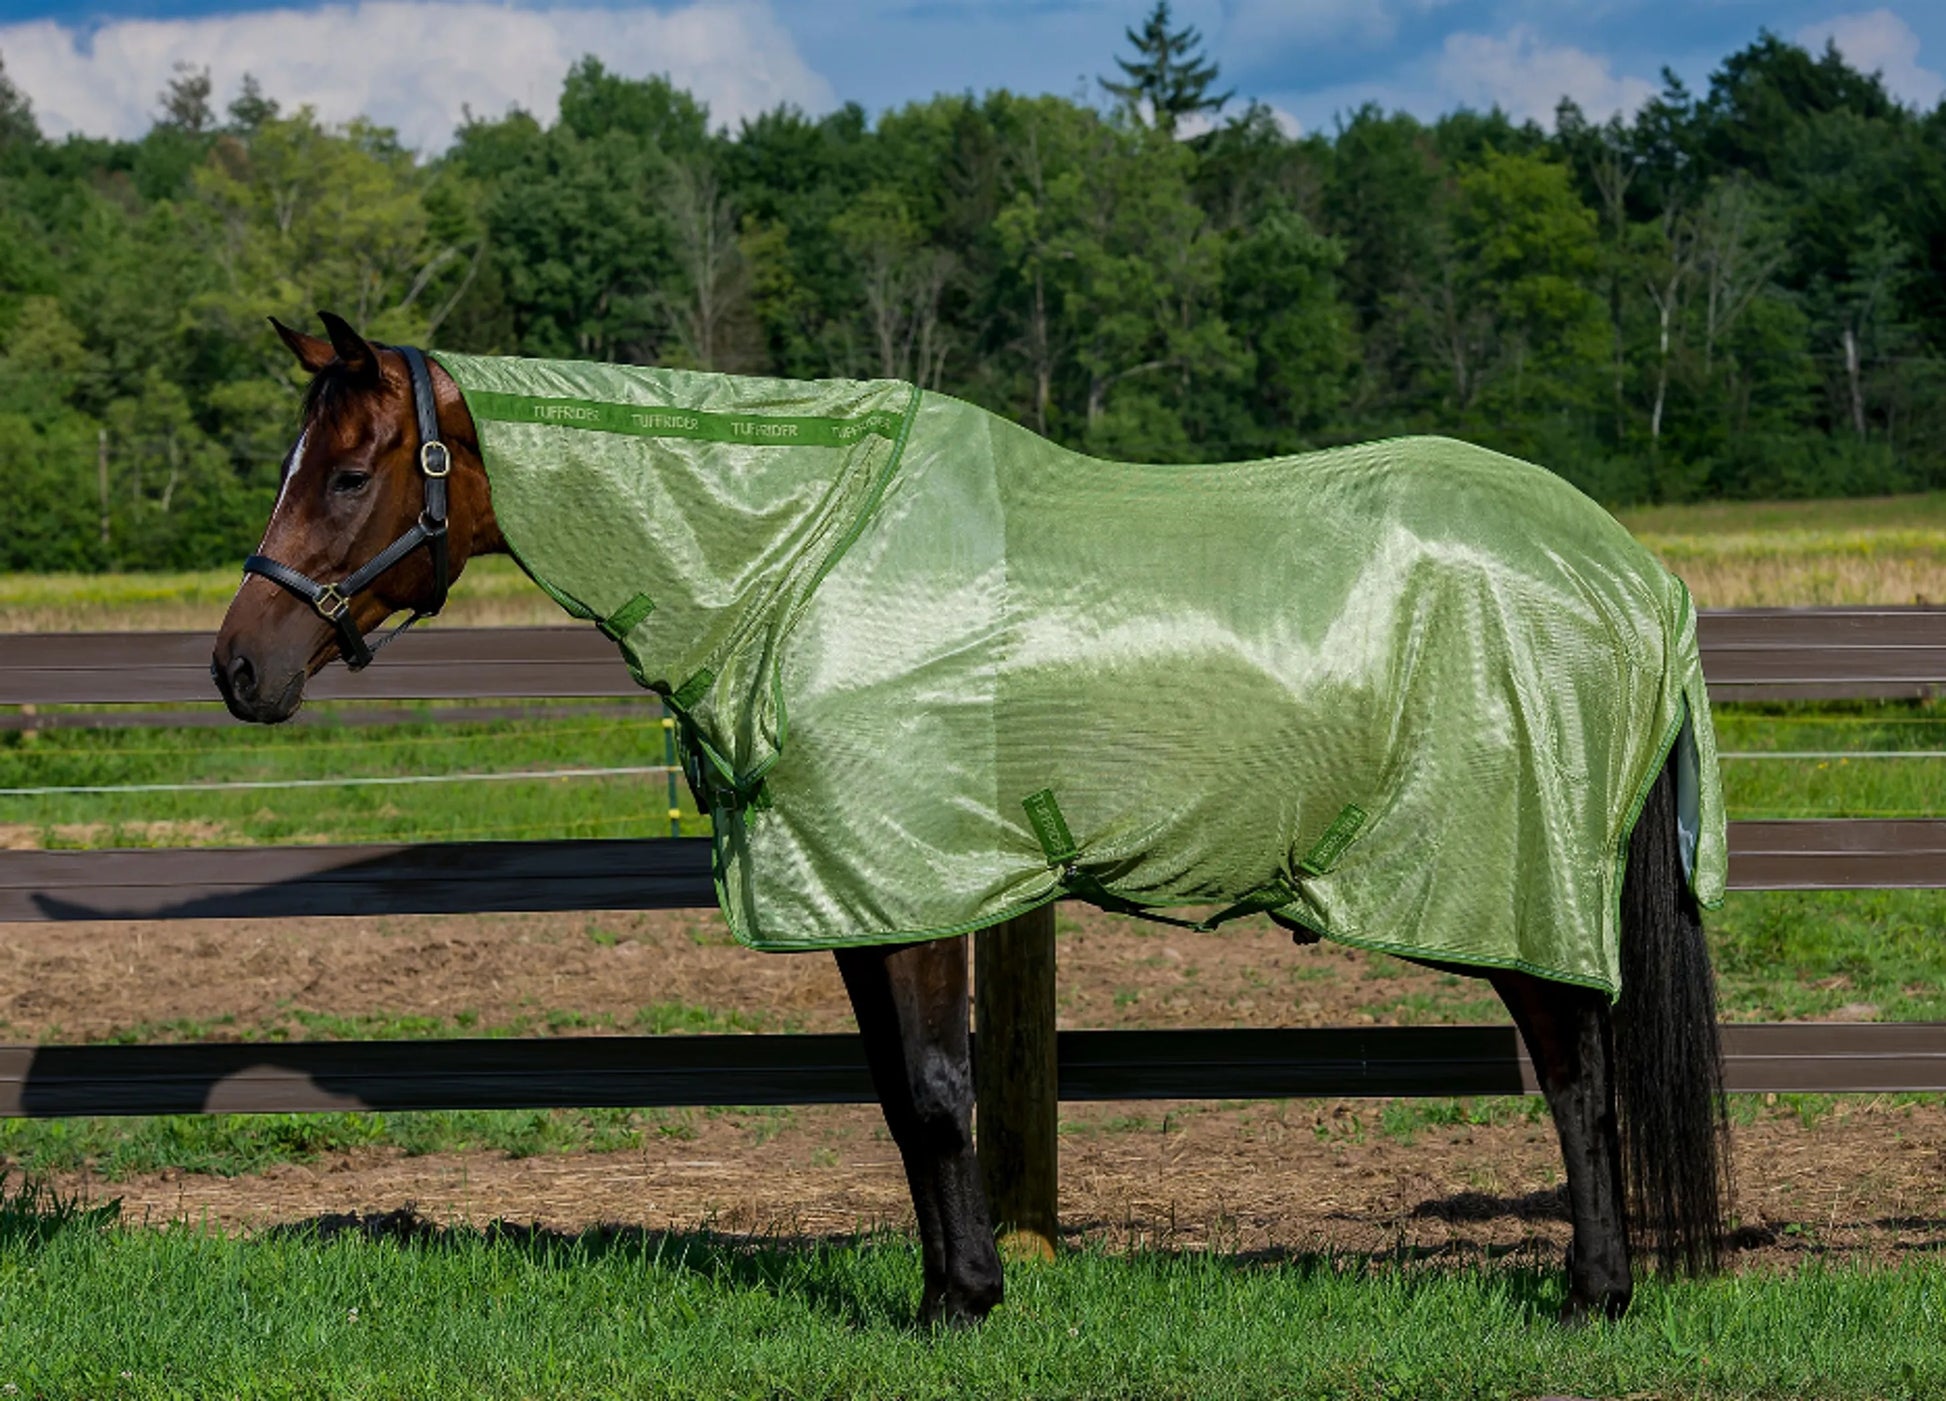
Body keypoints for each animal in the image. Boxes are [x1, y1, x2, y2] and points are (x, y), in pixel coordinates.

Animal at [213, 312, 1731, 1327]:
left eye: (346, 472)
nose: (239, 667)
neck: (801, 559)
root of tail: (1633, 573)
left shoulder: (912, 878)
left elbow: (942, 1096)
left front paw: (961, 1306)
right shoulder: (857, 890)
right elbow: (900, 1100)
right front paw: (954, 1286)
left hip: (1512, 877)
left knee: (1577, 1074)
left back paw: (1593, 1297)